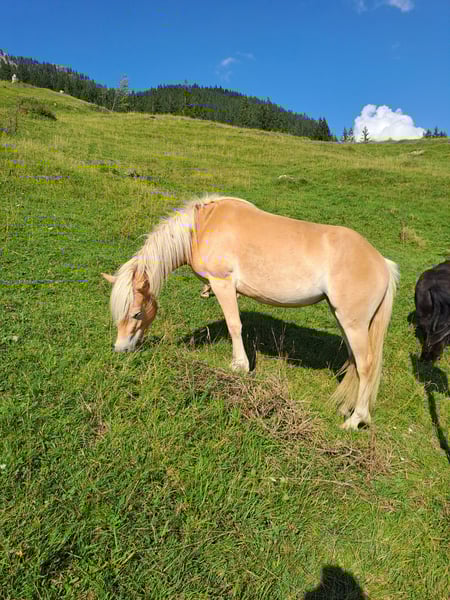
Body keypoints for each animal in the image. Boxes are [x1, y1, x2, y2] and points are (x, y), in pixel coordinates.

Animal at [102, 194, 399, 430]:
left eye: (136, 314)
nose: (120, 348)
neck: (202, 226)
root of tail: (382, 263)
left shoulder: (223, 285)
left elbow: (235, 325)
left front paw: (239, 366)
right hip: (345, 321)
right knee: (355, 363)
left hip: (353, 324)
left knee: (366, 365)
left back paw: (355, 420)